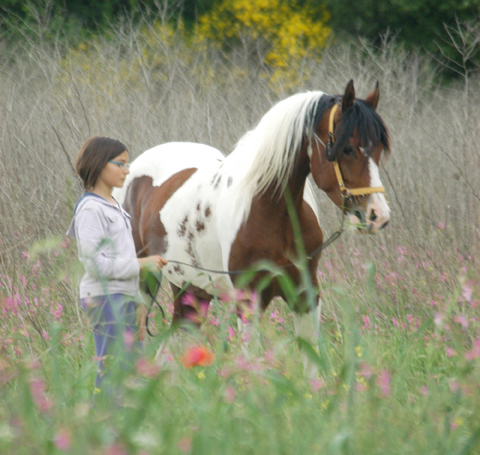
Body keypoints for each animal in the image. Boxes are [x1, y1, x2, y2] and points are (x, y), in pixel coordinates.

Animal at [114, 80, 392, 366]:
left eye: (379, 150)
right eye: (348, 148)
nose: (378, 215)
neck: (273, 213)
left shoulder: (306, 296)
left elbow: (310, 359)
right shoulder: (248, 301)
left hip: (192, 292)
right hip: (144, 282)